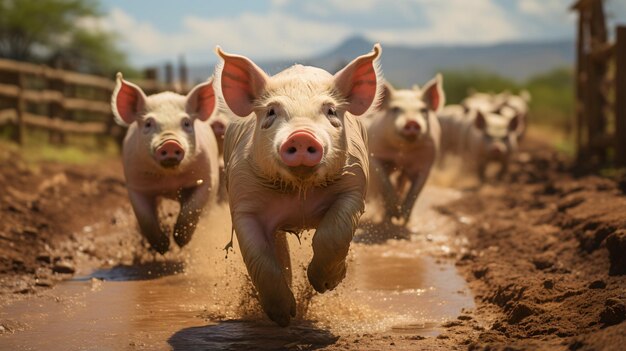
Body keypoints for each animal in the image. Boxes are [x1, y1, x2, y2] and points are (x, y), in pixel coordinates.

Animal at [109, 73, 219, 253]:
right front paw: (163, 247)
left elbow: (192, 209)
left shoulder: (207, 178)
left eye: (186, 123)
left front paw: (180, 241)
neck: (170, 181)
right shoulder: (134, 184)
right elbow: (145, 217)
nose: (170, 143)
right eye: (148, 123)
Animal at [213, 44, 380, 328]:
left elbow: (331, 235)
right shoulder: (243, 200)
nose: (301, 136)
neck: (299, 192)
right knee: (278, 249)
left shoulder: (354, 185)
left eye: (330, 111)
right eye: (271, 111)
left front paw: (324, 283)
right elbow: (260, 257)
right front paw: (283, 317)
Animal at [366, 75, 444, 227]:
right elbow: (384, 183)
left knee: (401, 183)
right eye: (396, 109)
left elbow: (415, 191)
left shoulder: (427, 163)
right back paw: (387, 217)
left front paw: (404, 219)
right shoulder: (375, 154)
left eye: (423, 110)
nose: (412, 122)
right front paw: (394, 214)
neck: (403, 153)